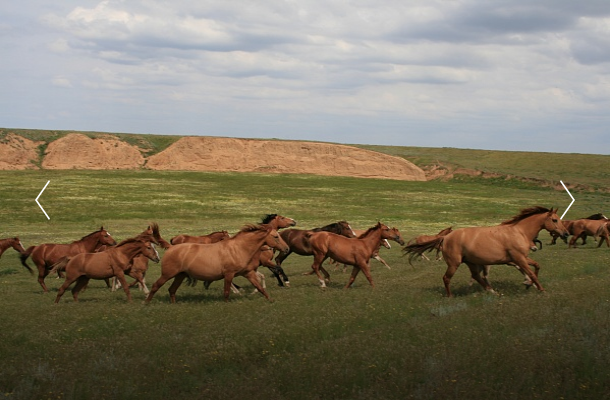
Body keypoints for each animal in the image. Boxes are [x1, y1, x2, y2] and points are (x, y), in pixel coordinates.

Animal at [147, 225, 290, 304]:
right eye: (276, 236)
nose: (287, 248)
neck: (239, 248)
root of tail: (171, 247)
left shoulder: (248, 273)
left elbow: (260, 287)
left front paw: (271, 300)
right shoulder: (229, 274)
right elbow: (226, 291)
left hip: (180, 275)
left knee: (172, 290)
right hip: (167, 274)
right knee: (155, 286)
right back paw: (146, 303)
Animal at [402, 206, 568, 296]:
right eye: (554, 220)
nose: (566, 233)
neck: (519, 231)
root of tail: (445, 237)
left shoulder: (520, 258)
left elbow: (536, 266)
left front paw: (529, 284)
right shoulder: (518, 258)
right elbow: (531, 272)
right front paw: (540, 288)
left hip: (470, 262)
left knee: (476, 276)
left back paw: (492, 291)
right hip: (454, 263)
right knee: (446, 278)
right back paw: (450, 296)